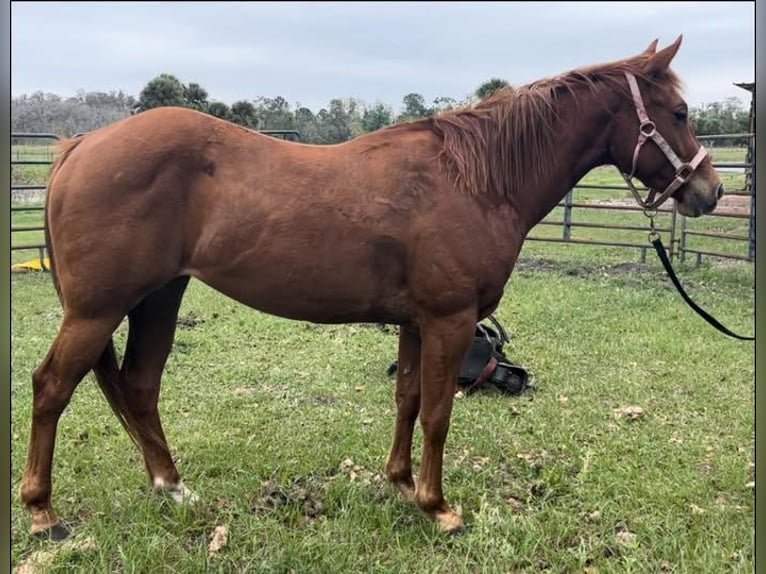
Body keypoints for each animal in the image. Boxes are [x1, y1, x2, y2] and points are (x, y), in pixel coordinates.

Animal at [19, 35, 723, 539]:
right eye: (680, 112)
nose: (710, 191)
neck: (475, 179)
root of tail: (82, 144)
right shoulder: (449, 320)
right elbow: (438, 413)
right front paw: (439, 507)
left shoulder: (416, 323)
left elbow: (407, 402)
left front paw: (402, 484)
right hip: (97, 310)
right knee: (52, 387)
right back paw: (43, 512)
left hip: (157, 299)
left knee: (139, 386)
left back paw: (171, 486)